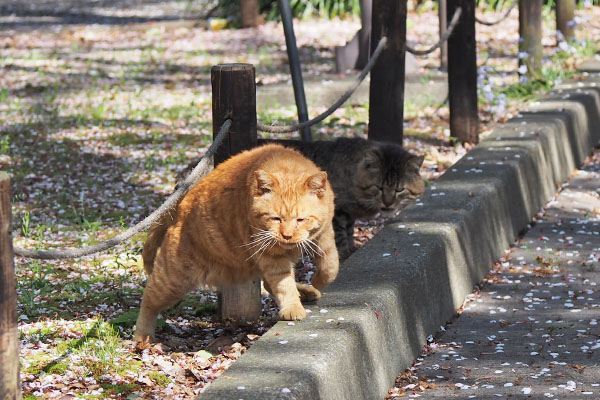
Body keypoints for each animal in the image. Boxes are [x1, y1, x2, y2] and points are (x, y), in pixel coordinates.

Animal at [135, 143, 338, 340]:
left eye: (301, 220)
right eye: (275, 219)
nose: (287, 235)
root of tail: (180, 205)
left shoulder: (325, 233)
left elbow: (330, 265)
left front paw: (318, 280)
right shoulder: (271, 254)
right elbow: (283, 283)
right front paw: (292, 307)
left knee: (268, 284)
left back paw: (305, 291)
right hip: (174, 279)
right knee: (148, 299)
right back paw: (142, 337)